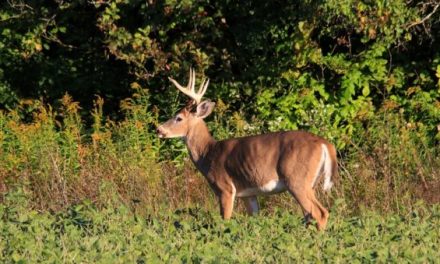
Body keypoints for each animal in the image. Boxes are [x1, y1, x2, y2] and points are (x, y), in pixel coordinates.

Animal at [156, 68, 338, 231]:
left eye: (178, 118)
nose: (159, 129)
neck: (208, 154)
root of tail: (325, 144)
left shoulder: (225, 188)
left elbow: (224, 222)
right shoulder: (248, 194)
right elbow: (254, 220)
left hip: (296, 179)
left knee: (320, 213)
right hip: (309, 182)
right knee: (309, 215)